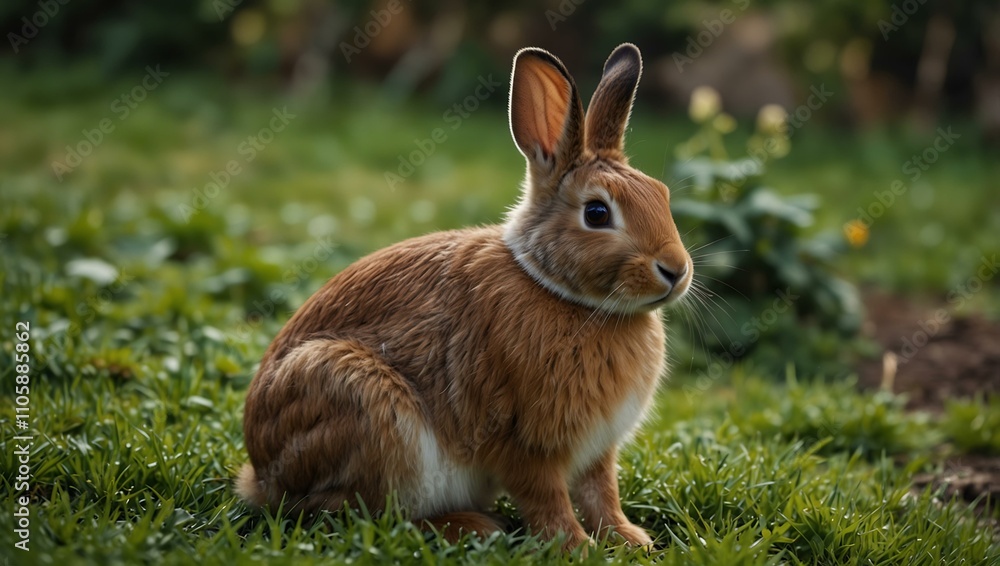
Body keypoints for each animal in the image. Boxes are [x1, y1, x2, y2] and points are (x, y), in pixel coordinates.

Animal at [237, 42, 692, 550]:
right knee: (350, 512)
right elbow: (547, 499)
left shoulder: (598, 449)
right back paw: (471, 526)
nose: (676, 271)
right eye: (596, 213)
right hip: (361, 405)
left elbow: (602, 493)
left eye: (662, 195)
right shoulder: (523, 442)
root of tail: (262, 474)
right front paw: (576, 546)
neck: (563, 294)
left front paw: (630, 540)